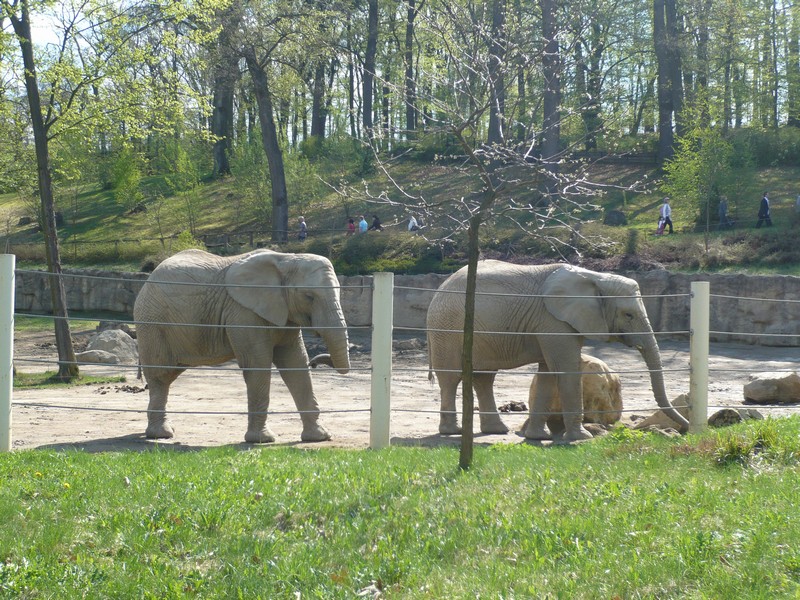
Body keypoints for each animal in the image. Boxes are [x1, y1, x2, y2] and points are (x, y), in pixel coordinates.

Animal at [133, 247, 348, 440]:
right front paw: (262, 440)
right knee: (161, 375)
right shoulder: (243, 312)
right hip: (153, 322)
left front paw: (319, 437)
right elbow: (258, 364)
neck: (286, 259)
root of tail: (148, 280)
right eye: (309, 296)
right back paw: (161, 434)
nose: (316, 362)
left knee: (169, 374)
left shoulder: (284, 313)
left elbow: (295, 364)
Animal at [428, 262, 692, 440]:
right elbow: (565, 370)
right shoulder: (553, 321)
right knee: (451, 377)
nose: (688, 429)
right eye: (628, 315)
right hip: (447, 329)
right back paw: (452, 432)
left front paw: (538, 437)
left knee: (484, 378)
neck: (595, 277)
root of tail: (440, 289)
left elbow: (548, 374)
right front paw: (581, 438)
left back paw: (496, 430)